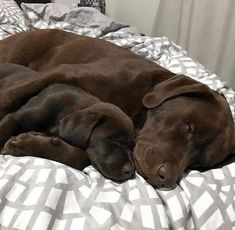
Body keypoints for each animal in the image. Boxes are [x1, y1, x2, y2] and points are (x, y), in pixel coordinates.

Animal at [0, 83, 135, 182]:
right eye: (114, 139)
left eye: (132, 147)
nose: (130, 172)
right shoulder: (15, 117)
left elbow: (76, 157)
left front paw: (30, 143)